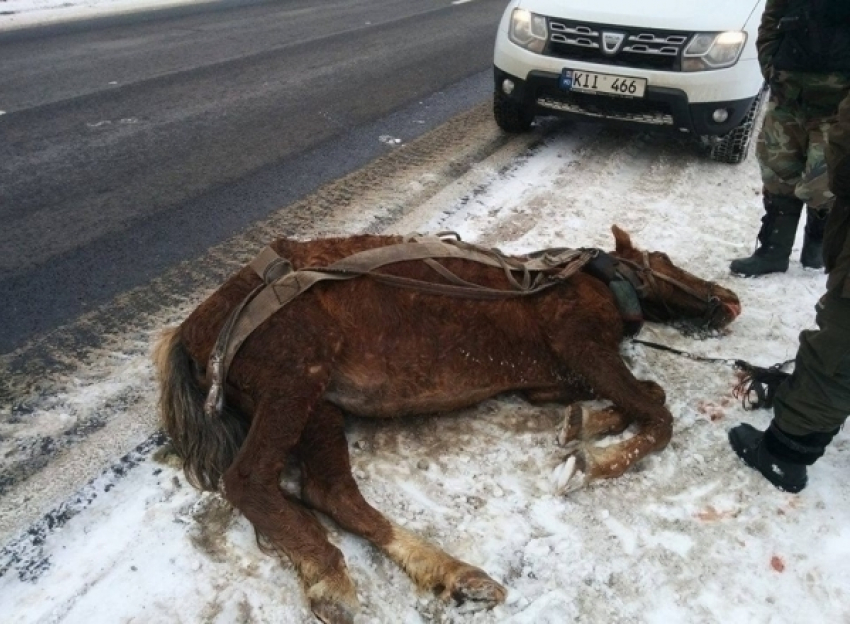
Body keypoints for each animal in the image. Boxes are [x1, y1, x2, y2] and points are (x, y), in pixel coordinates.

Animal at [152, 227, 736, 620]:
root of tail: (191, 331)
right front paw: (589, 461)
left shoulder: (551, 378)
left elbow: (643, 398)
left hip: (320, 404)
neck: (595, 282)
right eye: (662, 259)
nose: (730, 298)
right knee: (249, 480)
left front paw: (578, 428)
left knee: (331, 492)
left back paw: (456, 576)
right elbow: (658, 414)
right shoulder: (582, 345)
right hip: (295, 382)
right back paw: (330, 579)